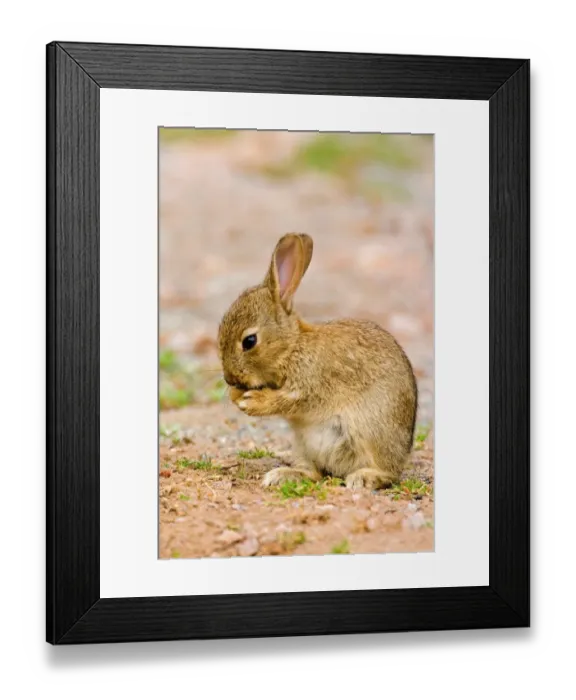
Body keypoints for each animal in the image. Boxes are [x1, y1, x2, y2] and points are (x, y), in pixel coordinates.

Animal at [217, 233, 418, 490]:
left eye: (249, 341)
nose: (229, 378)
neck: (292, 347)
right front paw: (236, 396)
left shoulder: (309, 385)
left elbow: (288, 400)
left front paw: (252, 402)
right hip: (303, 445)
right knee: (314, 474)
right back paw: (282, 475)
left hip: (373, 432)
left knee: (388, 473)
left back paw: (363, 478)